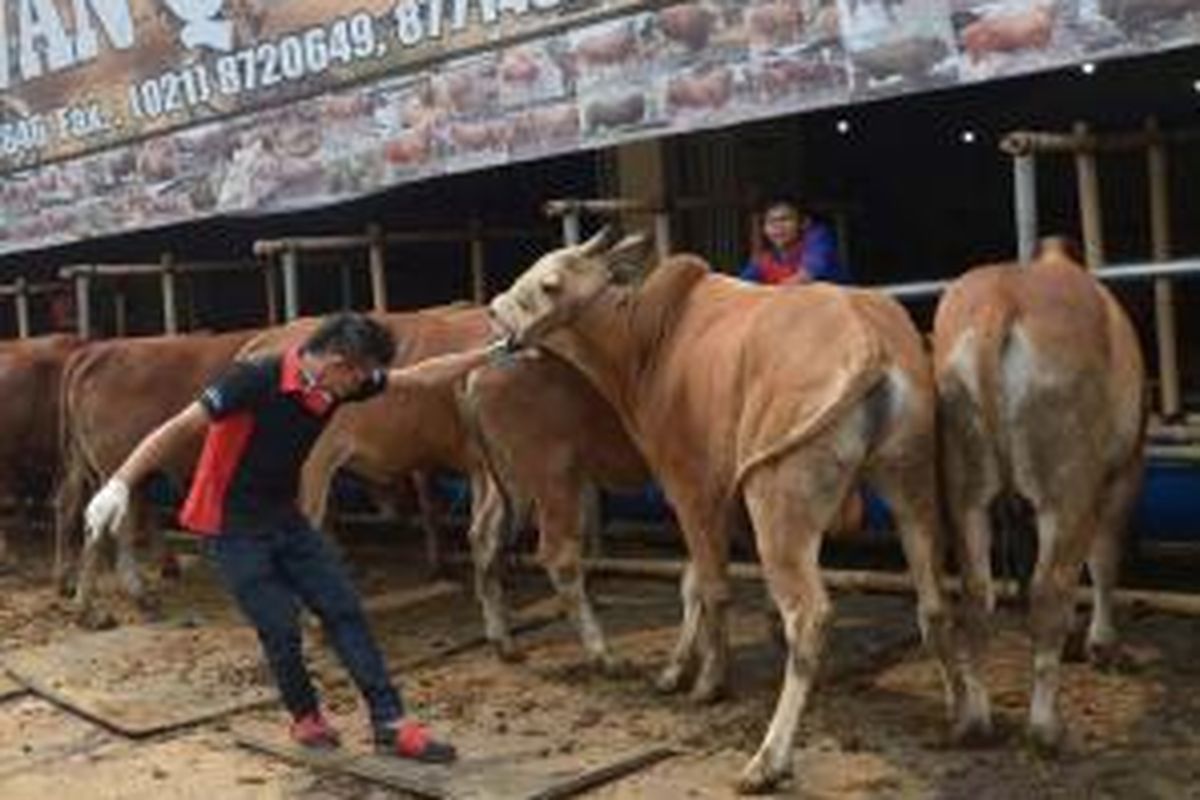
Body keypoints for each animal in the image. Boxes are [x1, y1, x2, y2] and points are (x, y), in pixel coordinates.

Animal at [487, 231, 993, 796]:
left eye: (549, 284)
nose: (495, 311)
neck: (648, 339)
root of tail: (872, 343)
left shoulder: (691, 488)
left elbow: (710, 588)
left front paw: (707, 682)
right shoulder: (720, 503)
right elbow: (696, 581)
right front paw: (678, 670)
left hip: (777, 501)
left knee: (810, 616)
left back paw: (767, 760)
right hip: (911, 485)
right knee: (933, 603)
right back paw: (964, 717)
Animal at [926, 237, 1142, 753]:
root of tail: (1000, 299)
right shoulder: (1123, 471)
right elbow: (1106, 558)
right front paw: (1104, 645)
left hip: (965, 489)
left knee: (976, 594)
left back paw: (975, 722)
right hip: (1068, 486)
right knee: (1050, 591)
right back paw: (1046, 728)